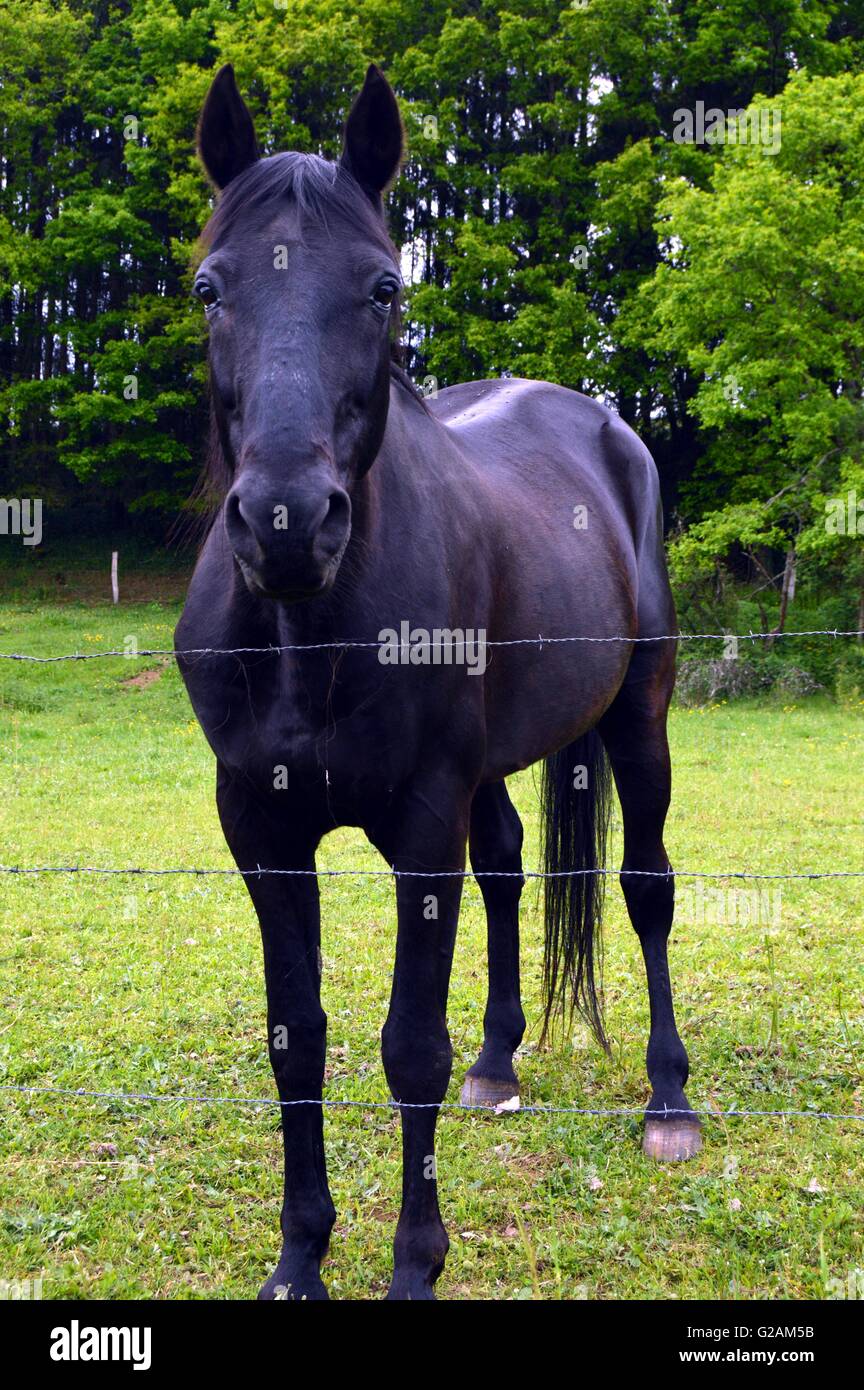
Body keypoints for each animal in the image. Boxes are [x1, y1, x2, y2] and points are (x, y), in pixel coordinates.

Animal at [177, 62, 705, 1301]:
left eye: (381, 287)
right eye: (210, 287)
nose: (287, 520)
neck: (305, 636)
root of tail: (604, 423)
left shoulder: (420, 822)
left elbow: (408, 1044)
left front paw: (414, 1263)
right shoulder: (260, 828)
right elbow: (297, 1034)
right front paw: (299, 1257)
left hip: (639, 716)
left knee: (648, 886)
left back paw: (669, 1100)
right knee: (509, 864)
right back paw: (500, 1062)